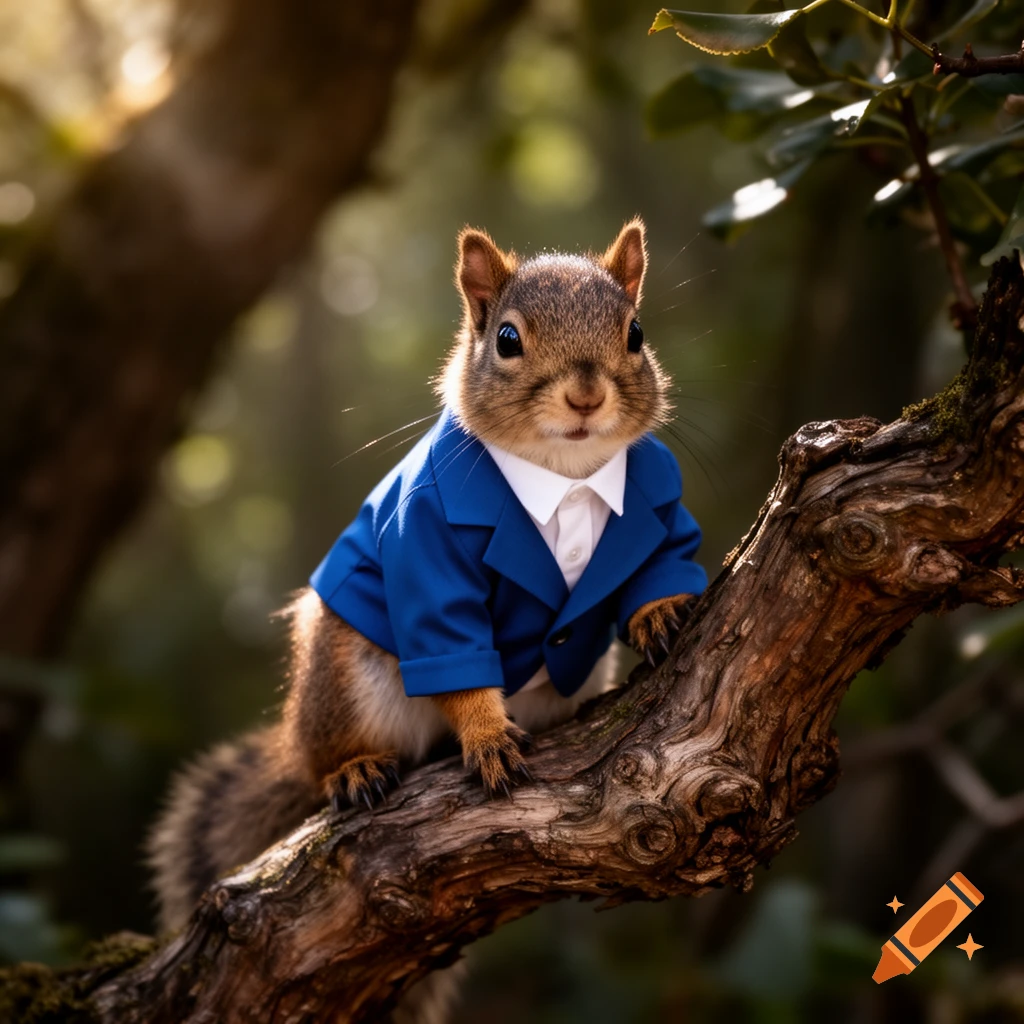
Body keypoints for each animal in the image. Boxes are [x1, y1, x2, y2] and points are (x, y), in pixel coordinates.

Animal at [148, 218, 707, 1020]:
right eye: (506, 339)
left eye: (635, 333)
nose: (585, 396)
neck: (563, 477)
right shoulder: (427, 556)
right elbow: (453, 650)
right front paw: (486, 736)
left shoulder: (655, 500)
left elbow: (661, 557)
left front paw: (658, 612)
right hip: (346, 682)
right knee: (322, 757)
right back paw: (353, 769)